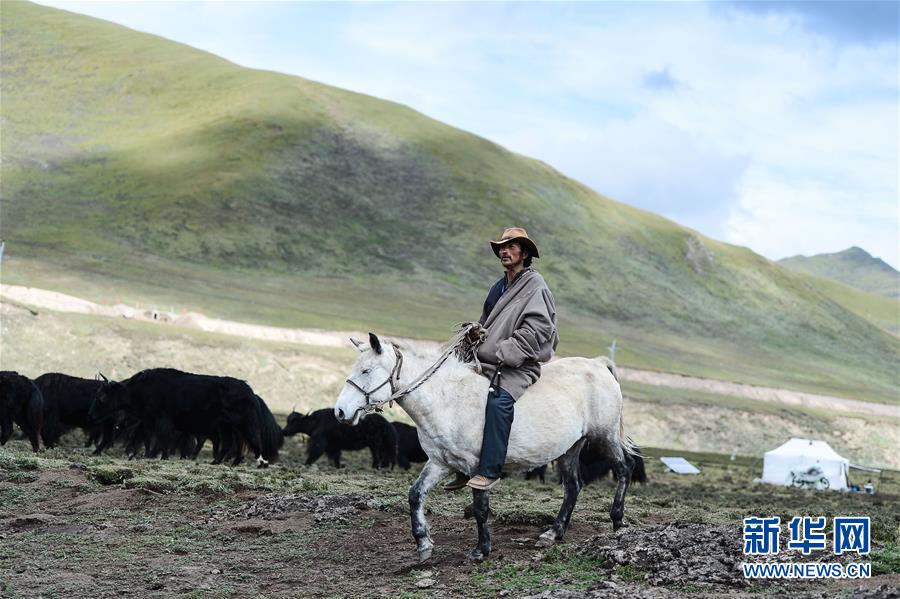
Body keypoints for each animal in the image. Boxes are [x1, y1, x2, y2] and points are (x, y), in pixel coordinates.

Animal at [334, 332, 636, 564]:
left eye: (366, 370)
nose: (340, 412)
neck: (446, 400)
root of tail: (598, 364)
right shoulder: (440, 463)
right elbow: (415, 495)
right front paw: (423, 544)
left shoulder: (478, 466)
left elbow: (480, 508)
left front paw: (481, 550)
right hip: (569, 448)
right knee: (573, 486)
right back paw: (553, 533)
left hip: (604, 436)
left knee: (624, 469)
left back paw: (618, 523)